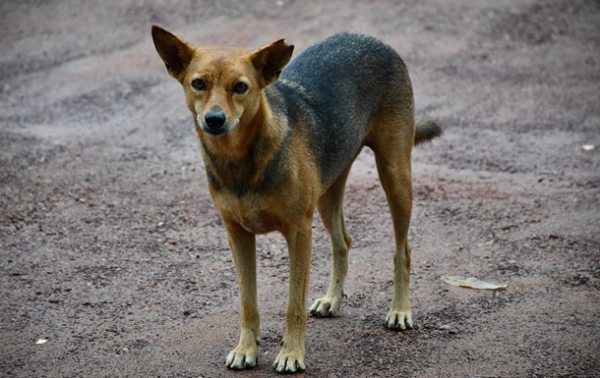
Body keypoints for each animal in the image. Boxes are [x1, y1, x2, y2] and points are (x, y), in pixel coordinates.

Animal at [151, 25, 440, 372]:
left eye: (240, 87)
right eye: (198, 84)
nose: (215, 120)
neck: (241, 161)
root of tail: (370, 39)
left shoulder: (299, 233)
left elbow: (293, 305)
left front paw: (291, 353)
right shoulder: (238, 234)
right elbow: (248, 302)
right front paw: (246, 348)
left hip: (395, 176)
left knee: (402, 250)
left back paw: (399, 310)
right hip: (328, 194)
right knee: (343, 242)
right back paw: (332, 299)